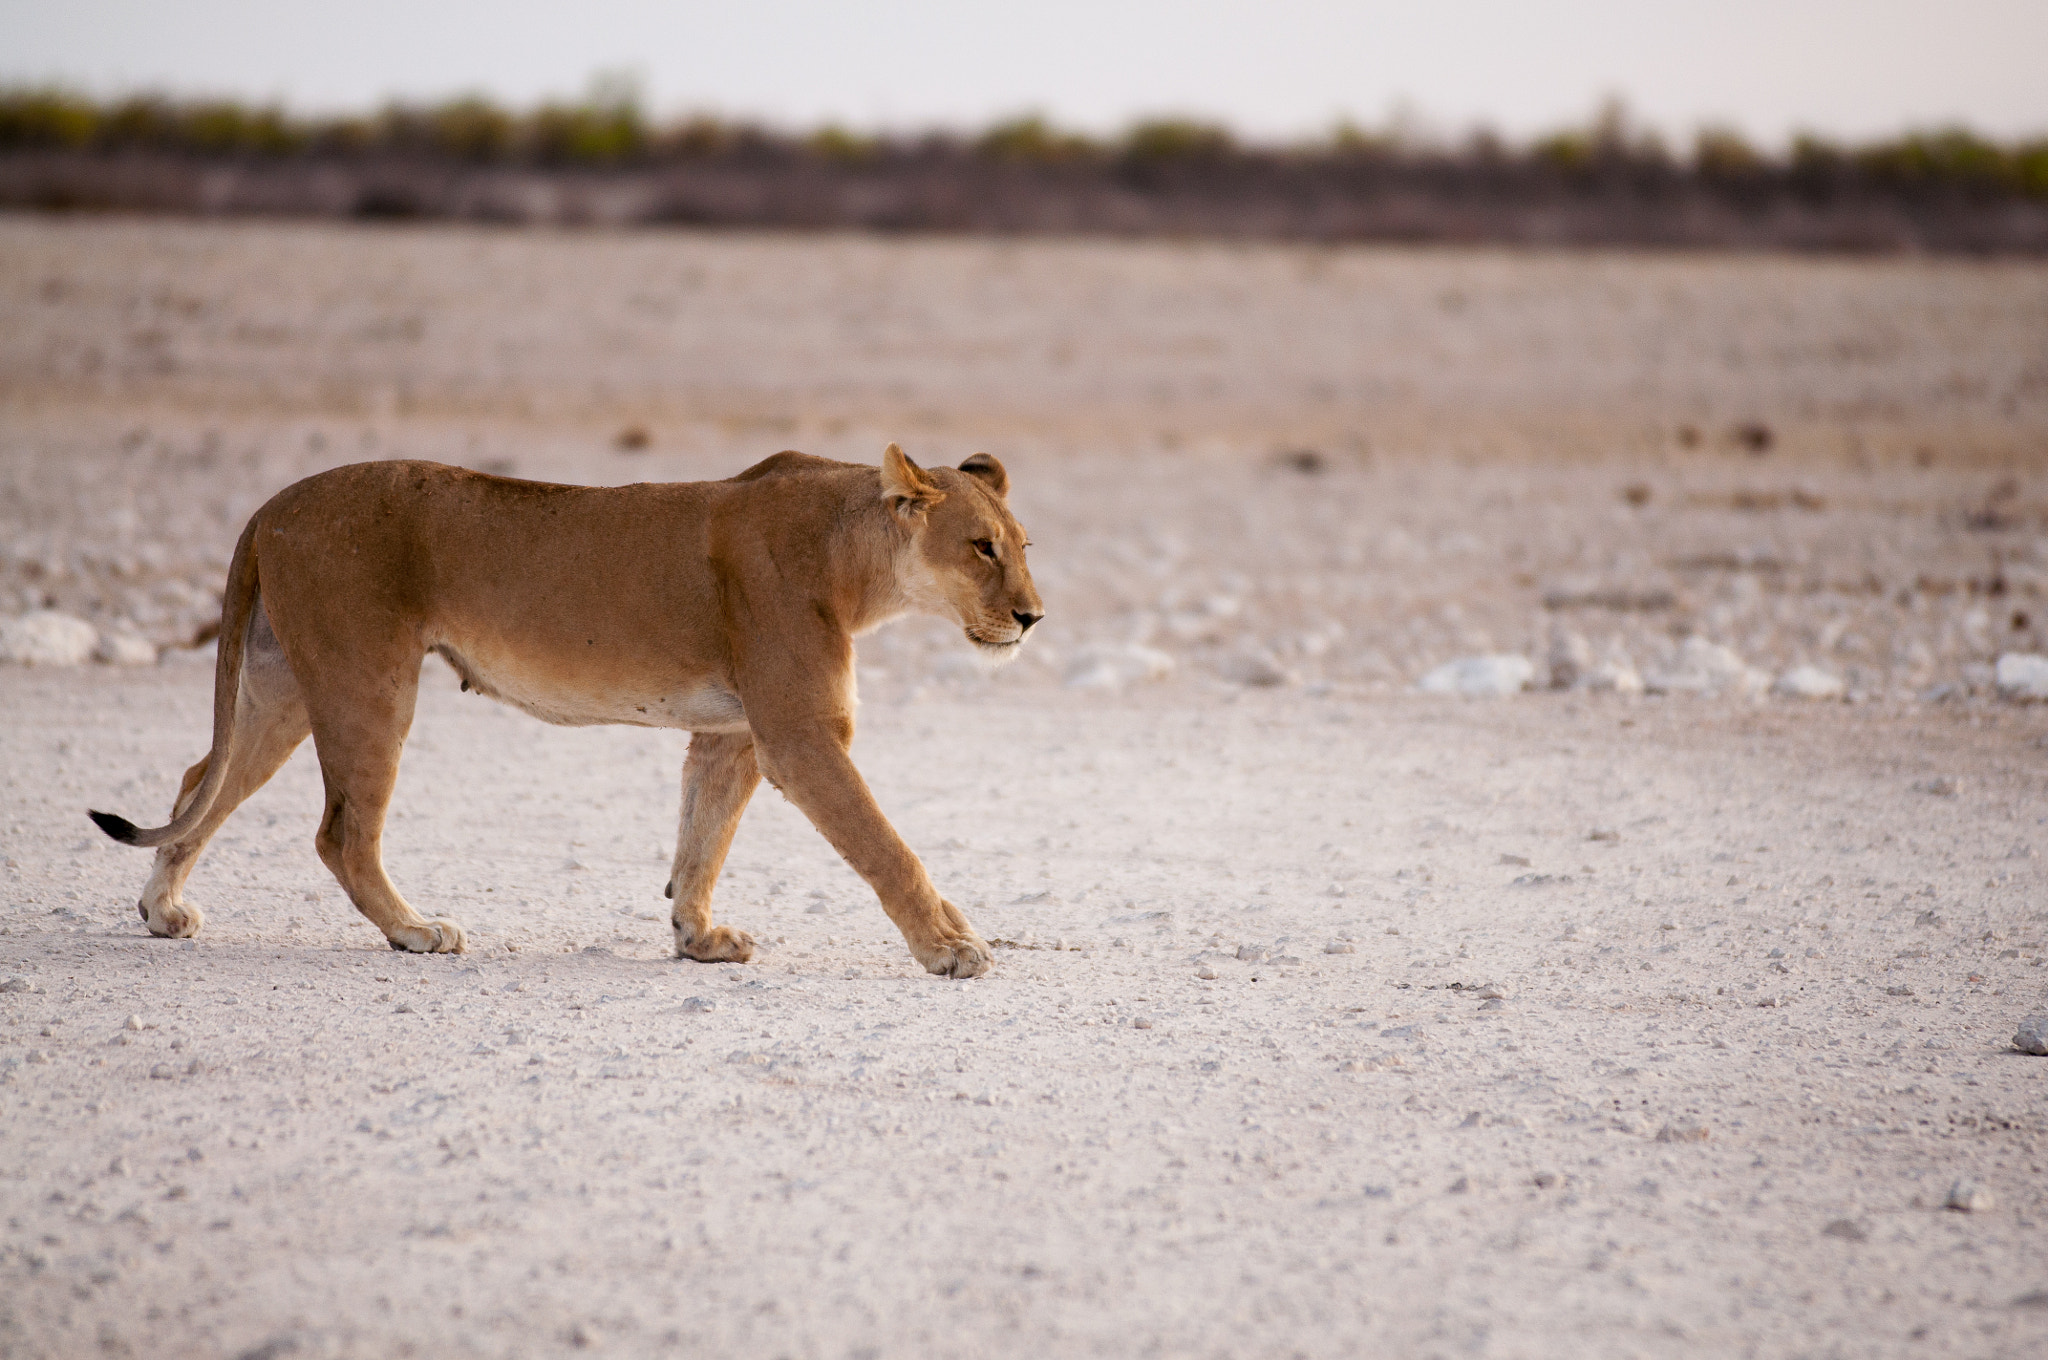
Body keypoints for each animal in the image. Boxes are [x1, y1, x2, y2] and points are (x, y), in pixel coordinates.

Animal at [87, 444, 1043, 979]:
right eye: (981, 547)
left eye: (1025, 545)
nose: (1034, 618)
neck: (855, 561)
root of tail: (270, 504)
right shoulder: (801, 737)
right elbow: (887, 847)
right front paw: (951, 948)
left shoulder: (732, 735)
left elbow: (701, 842)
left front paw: (697, 940)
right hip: (369, 683)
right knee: (340, 833)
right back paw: (416, 932)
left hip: (281, 684)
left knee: (198, 783)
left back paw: (162, 911)